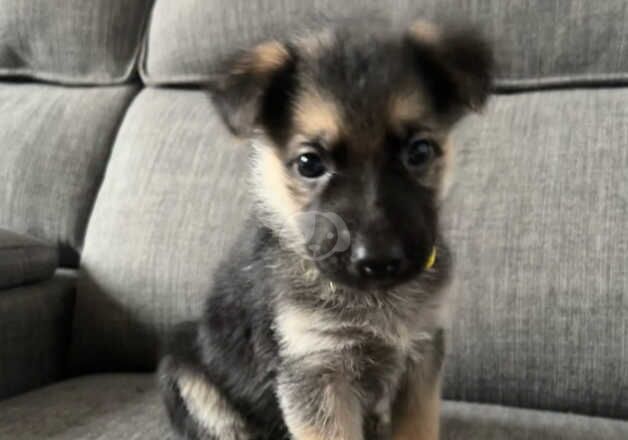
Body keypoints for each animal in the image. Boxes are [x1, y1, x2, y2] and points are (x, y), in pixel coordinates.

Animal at [159, 18, 494, 438]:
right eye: (309, 163)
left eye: (419, 152)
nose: (379, 261)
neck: (373, 301)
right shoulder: (316, 372)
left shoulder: (422, 359)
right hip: (185, 367)